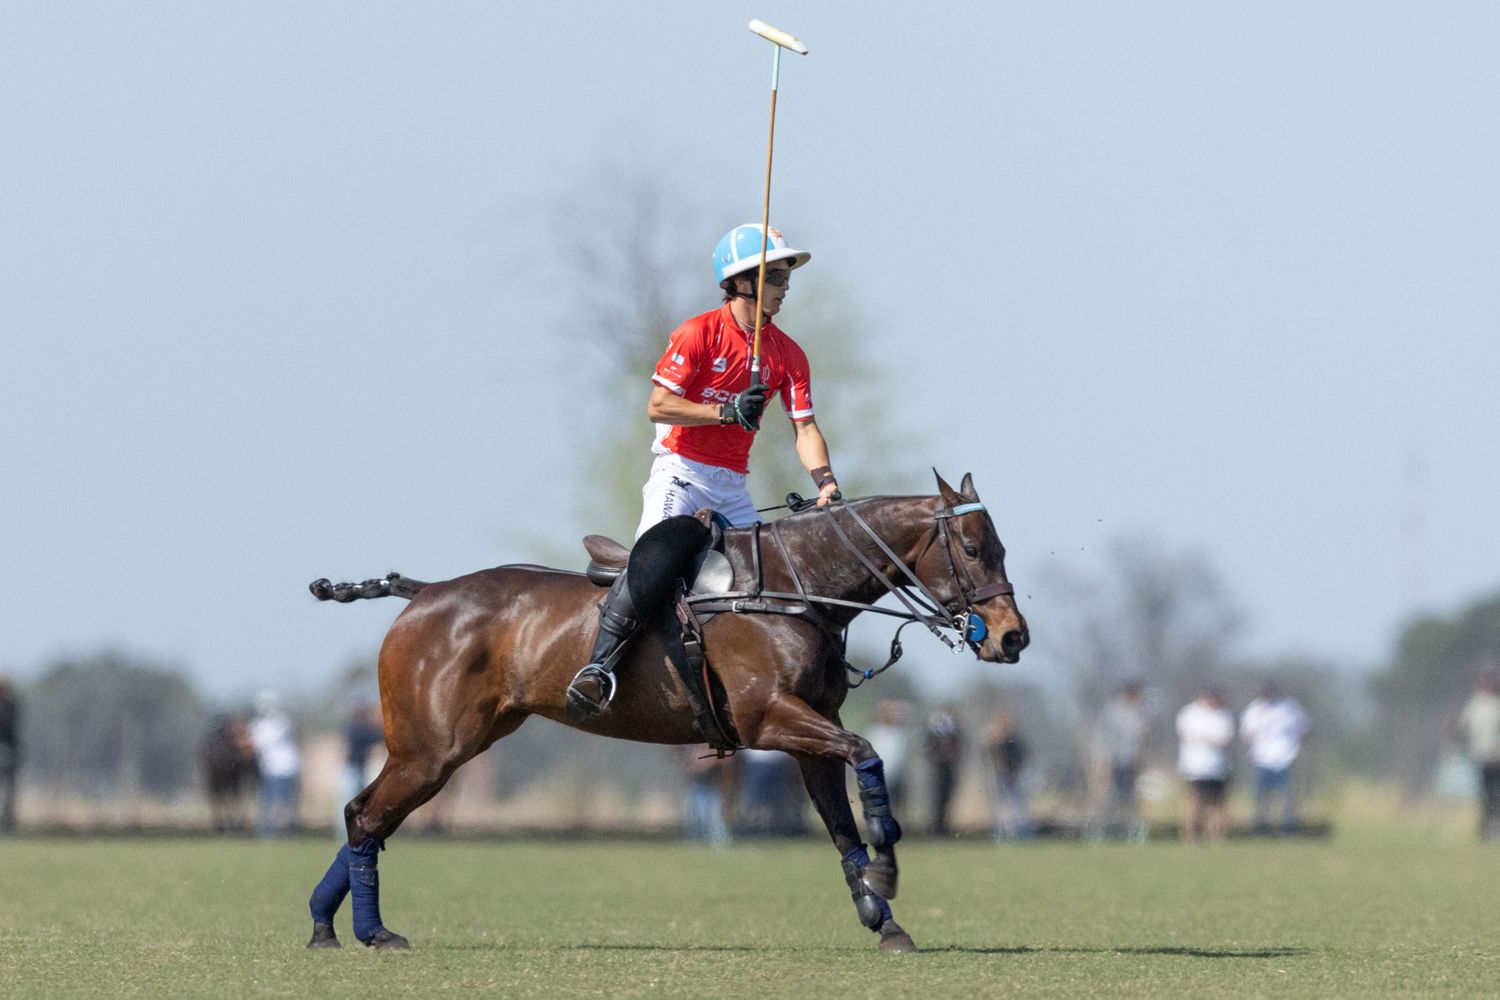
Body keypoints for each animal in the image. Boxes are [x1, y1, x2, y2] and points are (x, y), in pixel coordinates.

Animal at [304, 473, 1032, 959]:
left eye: (1000, 546)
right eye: (973, 548)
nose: (1012, 638)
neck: (794, 588)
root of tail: (424, 594)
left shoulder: (805, 734)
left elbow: (840, 824)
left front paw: (882, 916)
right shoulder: (769, 718)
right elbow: (869, 755)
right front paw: (888, 859)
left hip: (455, 744)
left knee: (366, 817)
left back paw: (326, 926)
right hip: (433, 748)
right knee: (366, 816)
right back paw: (368, 932)